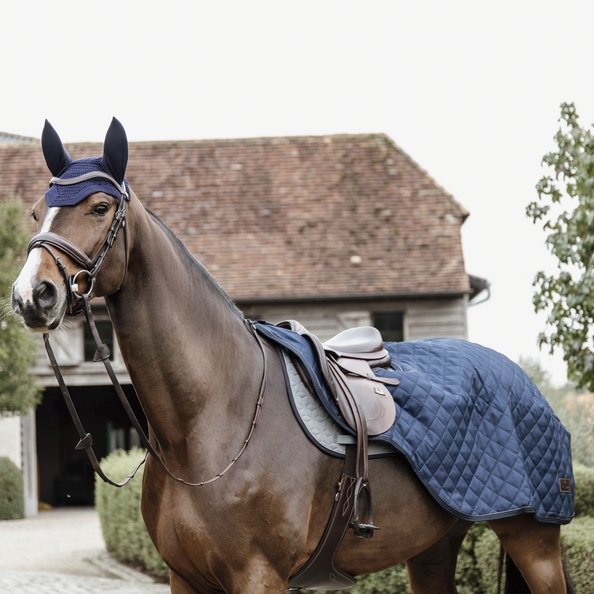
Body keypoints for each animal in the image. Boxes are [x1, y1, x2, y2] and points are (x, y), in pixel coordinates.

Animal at [11, 117, 572, 592]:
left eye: (99, 208)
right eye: (38, 211)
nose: (31, 295)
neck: (211, 421)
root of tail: (522, 384)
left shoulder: (259, 576)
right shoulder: (184, 577)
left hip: (533, 541)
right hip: (433, 547)